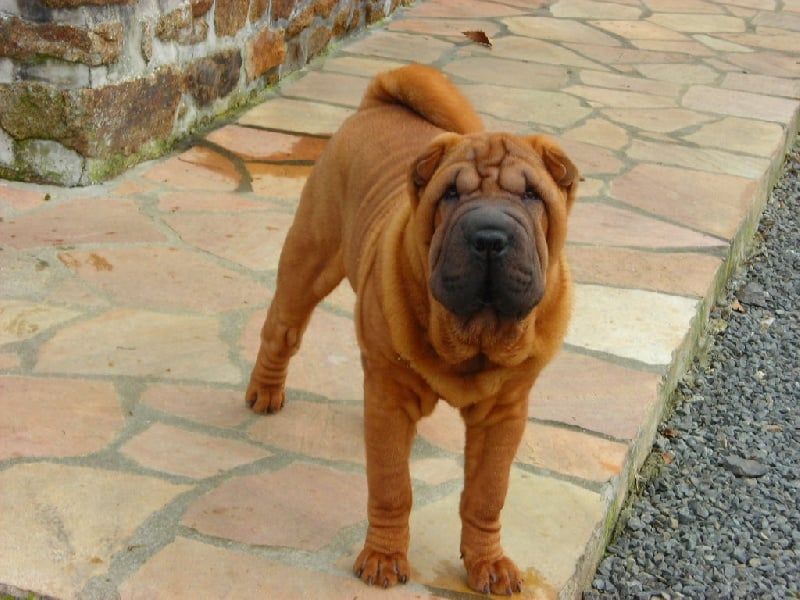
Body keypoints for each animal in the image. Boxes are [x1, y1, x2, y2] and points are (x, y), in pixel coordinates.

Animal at [245, 64, 578, 595]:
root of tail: (376, 102)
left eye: (530, 195)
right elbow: (391, 486)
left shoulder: (505, 413)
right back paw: (264, 392)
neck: (473, 334)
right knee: (282, 330)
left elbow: (487, 494)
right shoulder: (390, 395)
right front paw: (383, 558)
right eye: (451, 194)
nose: (489, 236)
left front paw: (488, 564)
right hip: (308, 259)